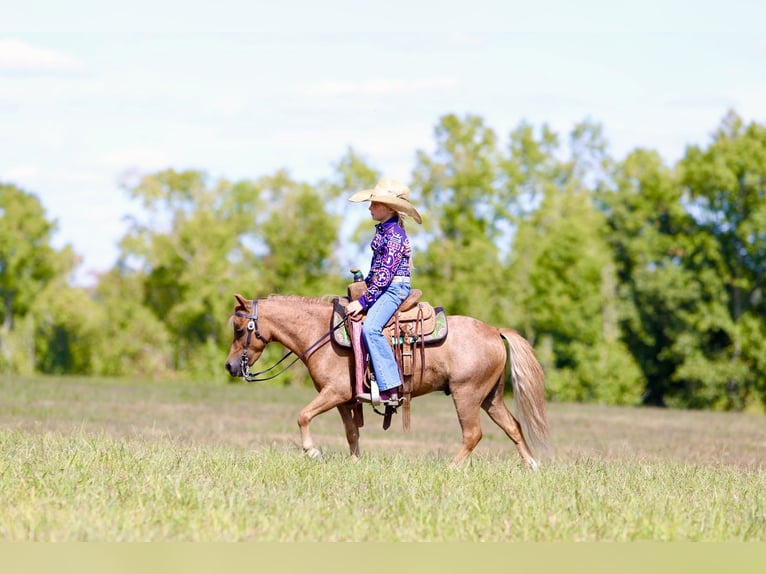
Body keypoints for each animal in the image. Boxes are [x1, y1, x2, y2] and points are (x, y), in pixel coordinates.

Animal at [224, 293, 550, 468]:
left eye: (239, 329)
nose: (230, 366)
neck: (322, 333)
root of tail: (495, 330)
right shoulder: (344, 400)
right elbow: (351, 433)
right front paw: (354, 463)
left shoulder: (334, 392)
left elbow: (303, 415)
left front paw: (312, 451)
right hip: (490, 397)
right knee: (513, 427)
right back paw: (532, 466)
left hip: (466, 395)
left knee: (473, 434)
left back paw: (451, 469)